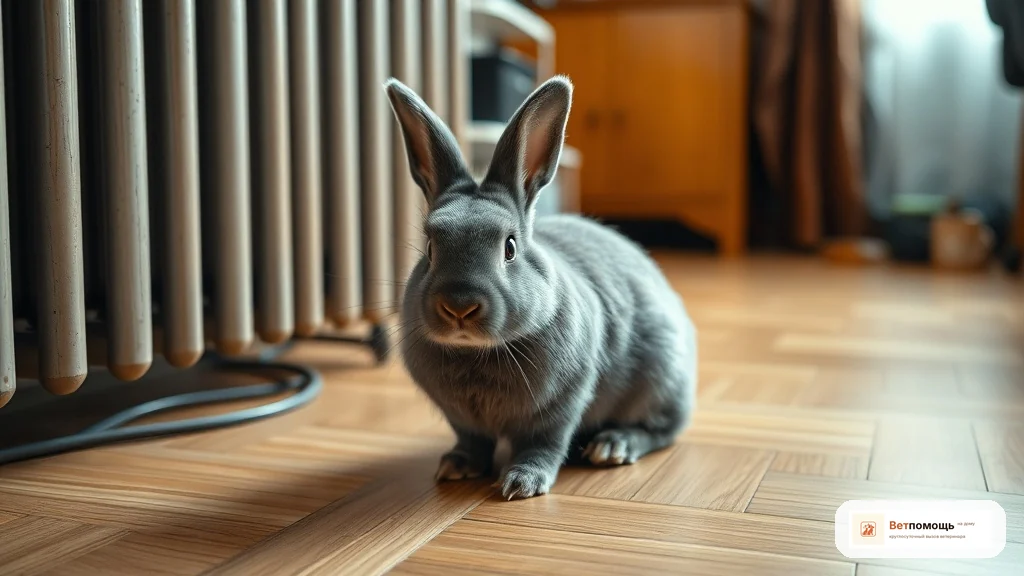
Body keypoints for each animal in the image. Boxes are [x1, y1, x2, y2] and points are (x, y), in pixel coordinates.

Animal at [384, 75, 697, 500]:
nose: (459, 306)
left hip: (660, 377)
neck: (477, 352)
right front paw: (456, 467)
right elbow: (472, 441)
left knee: (661, 430)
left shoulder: (560, 404)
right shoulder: (461, 419)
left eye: (510, 247)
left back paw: (612, 446)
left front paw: (522, 483)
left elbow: (543, 444)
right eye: (430, 248)